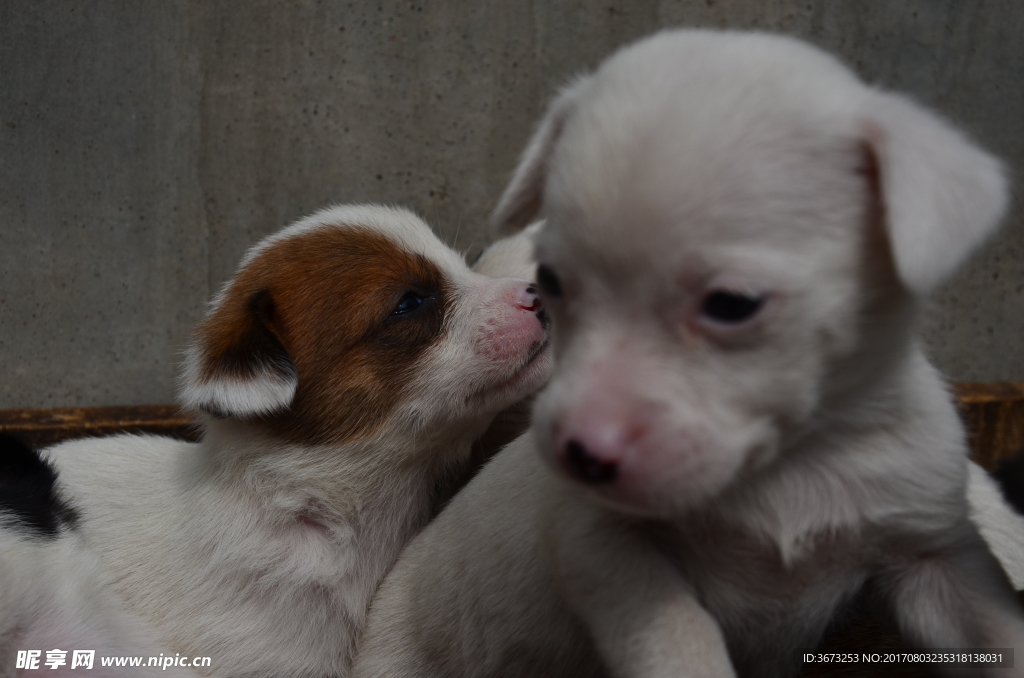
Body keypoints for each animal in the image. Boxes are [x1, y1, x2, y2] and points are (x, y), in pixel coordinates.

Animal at [350, 29, 1024, 675]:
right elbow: (681, 638)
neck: (783, 468)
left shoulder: (933, 559)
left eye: (731, 304)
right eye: (553, 282)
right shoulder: (607, 550)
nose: (577, 453)